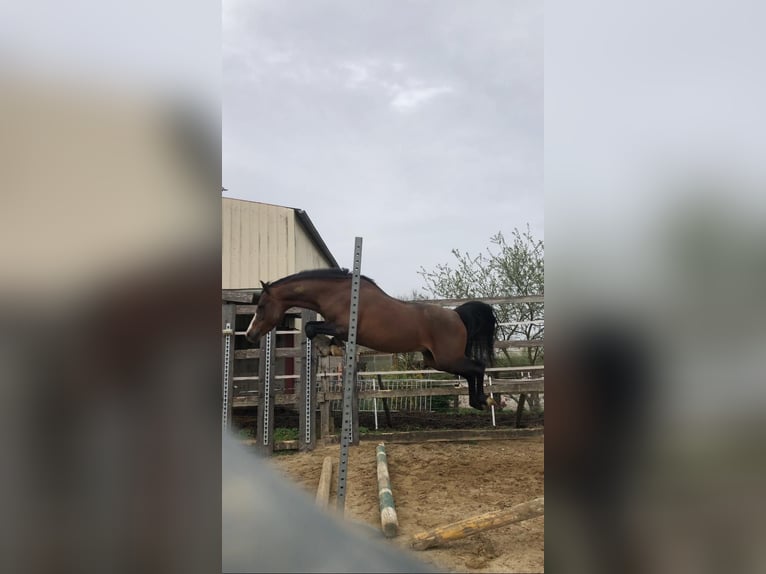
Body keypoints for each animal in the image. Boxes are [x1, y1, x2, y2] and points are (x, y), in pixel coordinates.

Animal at [244, 268, 498, 410]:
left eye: (262, 306)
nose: (249, 335)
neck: (338, 293)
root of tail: (456, 315)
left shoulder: (342, 326)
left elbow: (310, 327)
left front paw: (328, 347)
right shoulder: (339, 328)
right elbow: (315, 329)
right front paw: (332, 348)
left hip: (447, 358)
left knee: (477, 367)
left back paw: (483, 401)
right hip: (435, 360)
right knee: (471, 370)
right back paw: (480, 402)